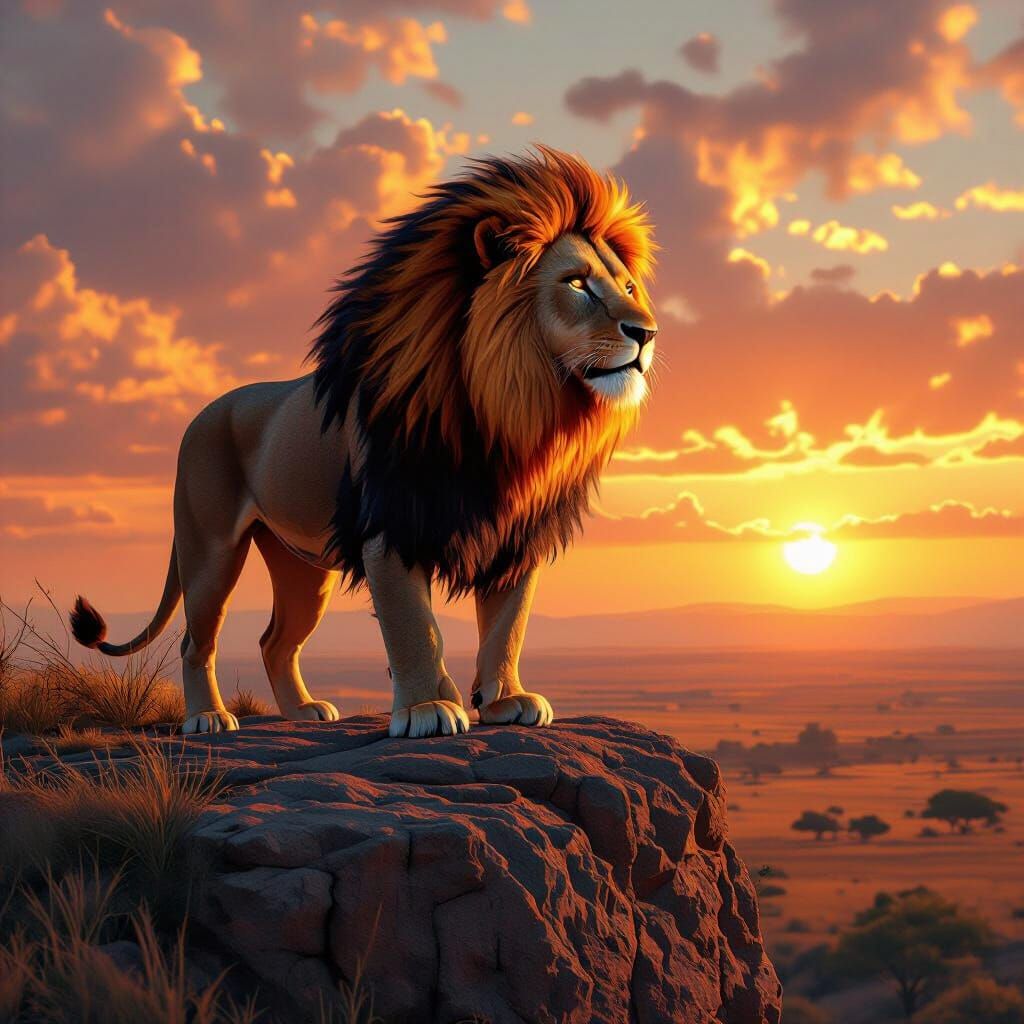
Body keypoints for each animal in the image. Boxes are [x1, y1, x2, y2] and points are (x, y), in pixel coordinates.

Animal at [69, 147, 658, 738]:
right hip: (210, 548)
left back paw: (304, 712)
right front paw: (426, 708)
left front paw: (504, 700)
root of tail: (202, 414)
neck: (508, 413)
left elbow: (507, 624)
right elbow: (415, 627)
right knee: (197, 640)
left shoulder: (516, 534)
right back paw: (208, 717)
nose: (647, 332)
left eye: (629, 288)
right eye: (577, 284)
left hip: (304, 568)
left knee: (275, 641)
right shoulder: (390, 526)